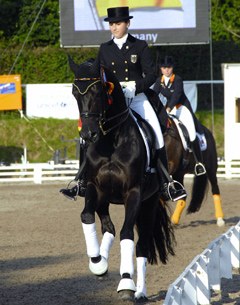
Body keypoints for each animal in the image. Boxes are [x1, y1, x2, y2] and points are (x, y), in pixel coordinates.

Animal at [68, 57, 175, 300]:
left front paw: (126, 282)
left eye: (98, 91)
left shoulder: (133, 193)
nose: (88, 135)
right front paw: (97, 262)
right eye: (74, 93)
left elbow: (127, 234)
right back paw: (101, 262)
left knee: (142, 244)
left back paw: (140, 292)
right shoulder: (94, 188)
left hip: (148, 204)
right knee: (108, 227)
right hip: (105, 199)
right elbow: (86, 216)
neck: (111, 140)